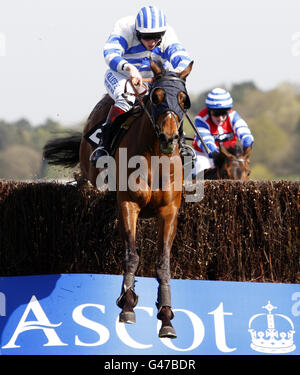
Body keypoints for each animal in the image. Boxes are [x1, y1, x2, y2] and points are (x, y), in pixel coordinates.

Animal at [44, 60, 195, 340]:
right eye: (156, 97)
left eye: (183, 99)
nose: (168, 139)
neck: (155, 158)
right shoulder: (128, 204)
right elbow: (131, 255)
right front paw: (127, 305)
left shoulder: (169, 210)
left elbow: (163, 263)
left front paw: (166, 316)